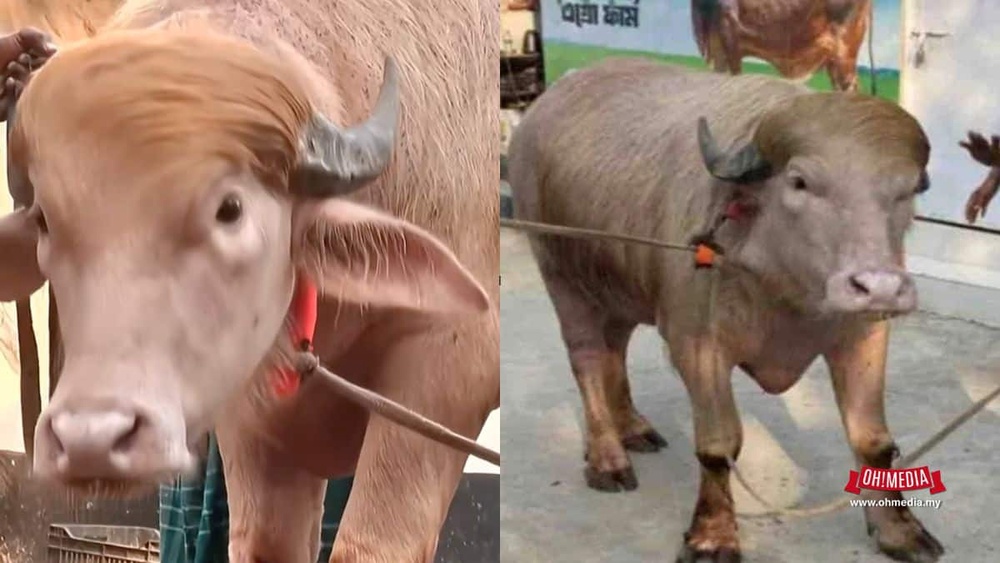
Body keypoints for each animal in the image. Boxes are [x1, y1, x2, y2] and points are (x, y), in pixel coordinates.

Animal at [0, 0, 499, 561]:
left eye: (231, 209)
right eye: (45, 220)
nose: (91, 440)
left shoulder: (446, 372)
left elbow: (368, 546)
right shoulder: (251, 417)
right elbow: (266, 543)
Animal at [507, 58, 941, 562]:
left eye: (905, 191)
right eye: (799, 182)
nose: (880, 286)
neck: (786, 292)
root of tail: (548, 99)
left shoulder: (864, 337)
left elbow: (872, 440)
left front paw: (899, 530)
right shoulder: (696, 346)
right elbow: (719, 445)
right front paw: (712, 536)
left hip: (620, 288)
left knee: (615, 349)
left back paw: (633, 427)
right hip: (561, 275)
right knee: (588, 360)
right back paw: (607, 458)